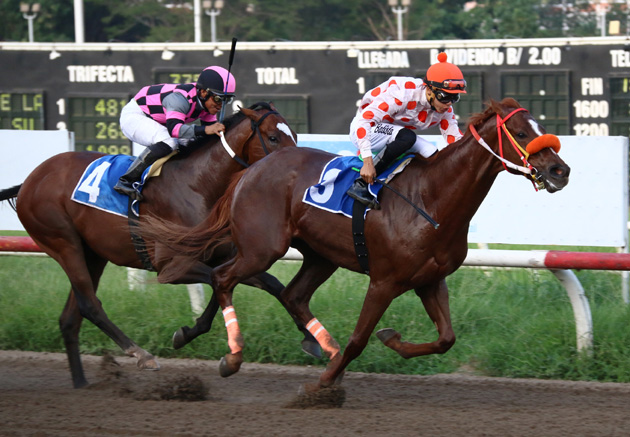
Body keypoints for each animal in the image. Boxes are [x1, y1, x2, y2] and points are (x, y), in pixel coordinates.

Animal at [0, 103, 316, 388]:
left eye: (294, 135)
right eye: (273, 137)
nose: (297, 163)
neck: (198, 185)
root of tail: (29, 181)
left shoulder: (222, 258)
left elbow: (267, 284)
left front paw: (310, 338)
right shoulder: (172, 267)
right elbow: (218, 284)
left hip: (93, 254)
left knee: (70, 317)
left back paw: (81, 382)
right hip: (64, 243)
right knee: (89, 304)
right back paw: (141, 355)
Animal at [147, 97, 572, 386]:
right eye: (521, 133)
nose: (560, 170)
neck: (432, 197)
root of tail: (250, 170)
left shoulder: (430, 280)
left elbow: (446, 339)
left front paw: (391, 339)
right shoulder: (384, 281)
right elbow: (359, 339)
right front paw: (323, 384)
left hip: (320, 255)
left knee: (292, 295)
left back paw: (320, 345)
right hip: (261, 248)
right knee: (223, 277)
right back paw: (232, 356)